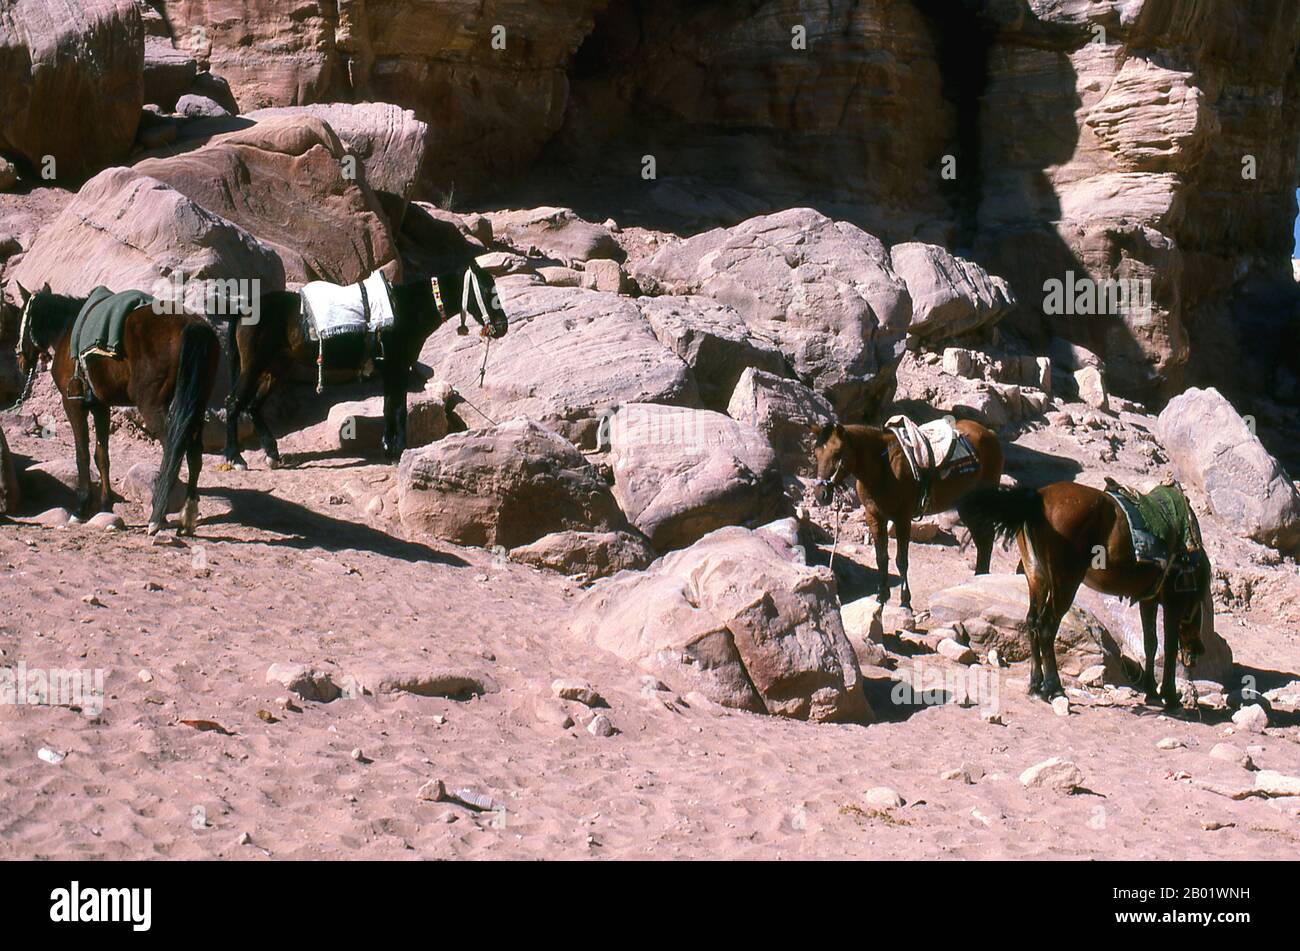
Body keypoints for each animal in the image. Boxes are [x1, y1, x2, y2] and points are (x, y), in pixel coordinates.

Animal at [13, 282, 219, 535]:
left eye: (21, 318)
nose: (21, 361)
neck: (67, 329)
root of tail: (192, 325)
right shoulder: (101, 406)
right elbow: (102, 455)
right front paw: (105, 506)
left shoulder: (74, 404)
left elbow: (82, 454)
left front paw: (80, 509)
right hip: (196, 406)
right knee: (194, 454)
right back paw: (187, 517)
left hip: (153, 407)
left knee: (174, 449)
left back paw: (157, 517)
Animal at [223, 261, 509, 469]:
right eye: (488, 292)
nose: (502, 327)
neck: (406, 309)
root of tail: (246, 308)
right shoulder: (396, 367)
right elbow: (398, 409)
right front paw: (397, 452)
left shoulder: (393, 370)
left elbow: (390, 407)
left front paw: (389, 450)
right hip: (254, 366)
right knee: (234, 404)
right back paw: (235, 458)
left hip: (276, 368)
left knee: (253, 407)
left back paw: (272, 454)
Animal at [810, 419, 1004, 607]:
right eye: (817, 453)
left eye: (838, 453)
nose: (821, 494)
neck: (883, 467)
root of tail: (989, 434)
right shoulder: (874, 516)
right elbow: (881, 557)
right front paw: (881, 596)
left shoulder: (902, 518)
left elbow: (901, 560)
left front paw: (905, 601)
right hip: (966, 507)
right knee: (982, 541)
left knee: (986, 540)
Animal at [959, 482, 1210, 707]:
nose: (1197, 652)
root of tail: (1037, 500)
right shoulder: (1174, 601)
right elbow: (1169, 647)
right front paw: (1170, 696)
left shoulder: (1148, 600)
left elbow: (1151, 643)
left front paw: (1151, 691)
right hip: (1066, 581)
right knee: (1046, 627)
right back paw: (1054, 688)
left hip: (1036, 575)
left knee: (1031, 622)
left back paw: (1036, 686)